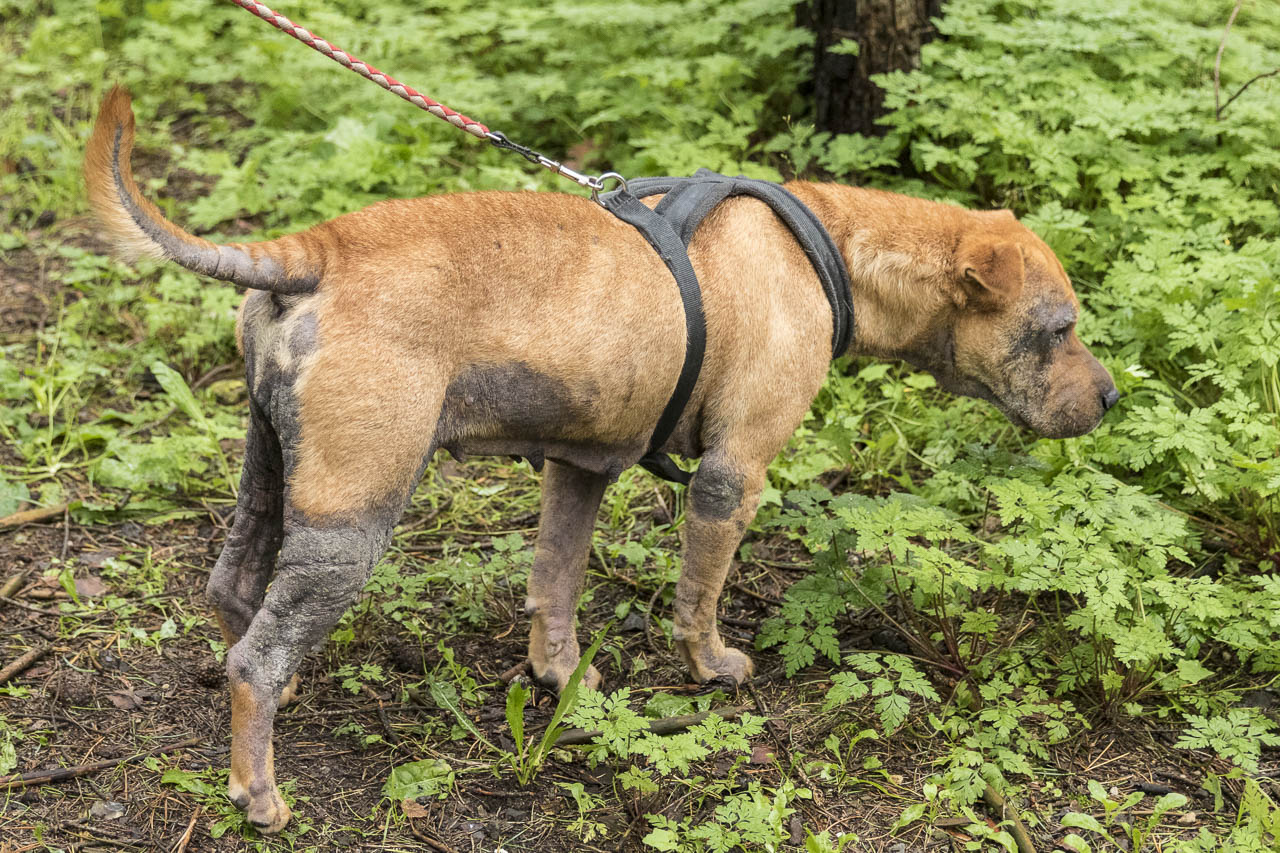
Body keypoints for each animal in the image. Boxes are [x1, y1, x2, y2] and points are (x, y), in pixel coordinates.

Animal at [84, 86, 1118, 832]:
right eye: (1057, 329)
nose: (1110, 399)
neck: (832, 244)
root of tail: (317, 250)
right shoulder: (730, 476)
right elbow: (699, 596)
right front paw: (709, 664)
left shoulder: (578, 469)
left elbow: (555, 581)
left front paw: (560, 677)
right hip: (355, 516)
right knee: (256, 658)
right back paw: (258, 792)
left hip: (269, 471)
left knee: (235, 597)